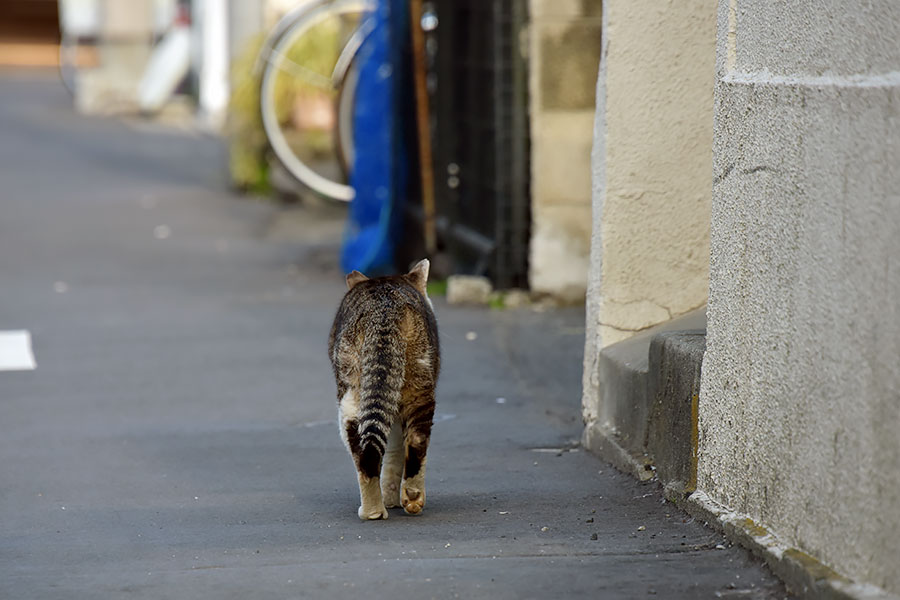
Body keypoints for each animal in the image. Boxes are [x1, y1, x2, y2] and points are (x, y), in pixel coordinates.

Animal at [330, 260, 442, 516]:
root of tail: (383, 313)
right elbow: (395, 453)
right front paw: (392, 498)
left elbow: (392, 453)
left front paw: (391, 498)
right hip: (416, 386)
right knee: (413, 441)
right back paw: (398, 502)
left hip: (356, 396)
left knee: (370, 449)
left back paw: (378, 508)